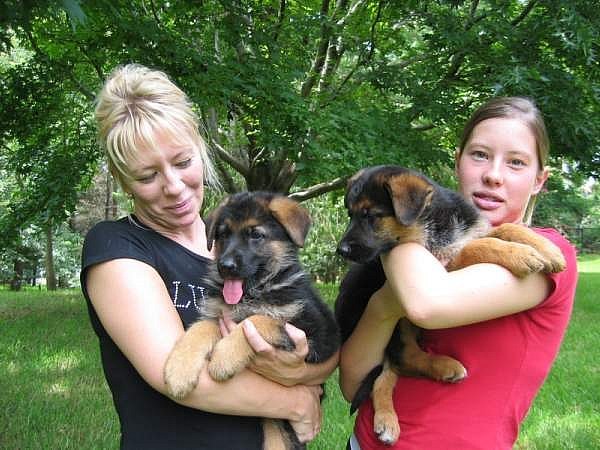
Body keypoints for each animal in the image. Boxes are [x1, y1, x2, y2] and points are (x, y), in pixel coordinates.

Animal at [164, 191, 340, 450]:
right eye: (223, 235)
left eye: (256, 234)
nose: (225, 266)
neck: (254, 292)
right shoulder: (219, 315)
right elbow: (200, 327)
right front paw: (179, 371)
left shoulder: (313, 333)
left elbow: (259, 319)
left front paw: (223, 359)